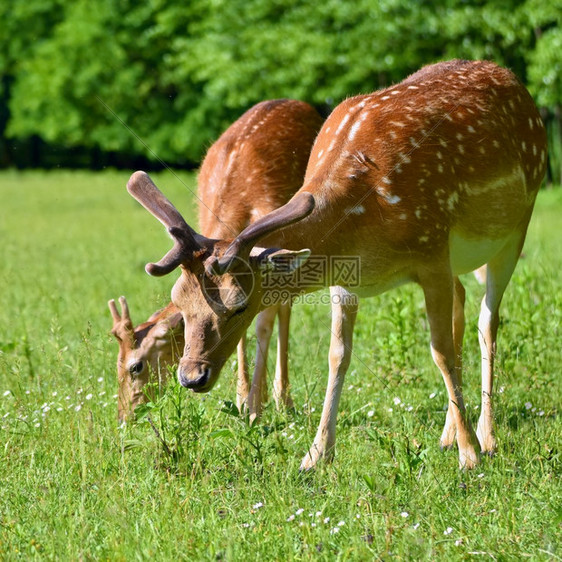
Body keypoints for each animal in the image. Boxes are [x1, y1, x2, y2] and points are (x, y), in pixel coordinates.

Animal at [109, 97, 322, 420]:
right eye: (116, 366)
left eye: (136, 366)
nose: (124, 416)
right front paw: (242, 398)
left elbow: (263, 323)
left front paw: (256, 406)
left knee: (283, 312)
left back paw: (282, 398)